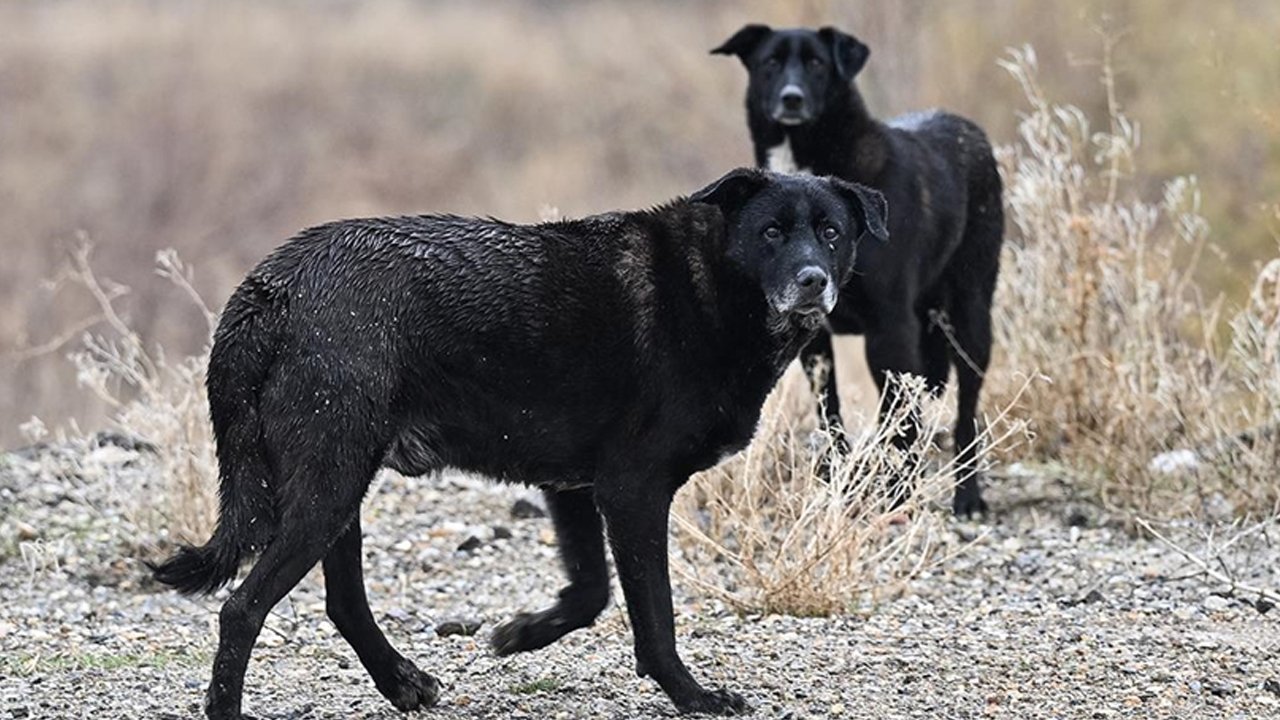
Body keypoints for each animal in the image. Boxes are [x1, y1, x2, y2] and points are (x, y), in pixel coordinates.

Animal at [149, 169, 885, 717]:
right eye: (771, 233)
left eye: (830, 233)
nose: (813, 281)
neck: (710, 286)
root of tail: (271, 285)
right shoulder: (633, 490)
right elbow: (655, 614)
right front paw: (693, 696)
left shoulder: (576, 487)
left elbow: (592, 593)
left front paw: (522, 634)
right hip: (328, 485)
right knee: (242, 608)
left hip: (337, 487)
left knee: (342, 602)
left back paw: (404, 683)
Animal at [716, 23, 1003, 515]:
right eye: (771, 62)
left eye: (817, 63)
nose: (791, 98)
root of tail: (969, 129)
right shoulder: (816, 341)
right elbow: (831, 413)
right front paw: (841, 482)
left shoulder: (889, 330)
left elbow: (901, 419)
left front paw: (899, 494)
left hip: (970, 316)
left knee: (965, 409)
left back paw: (967, 495)